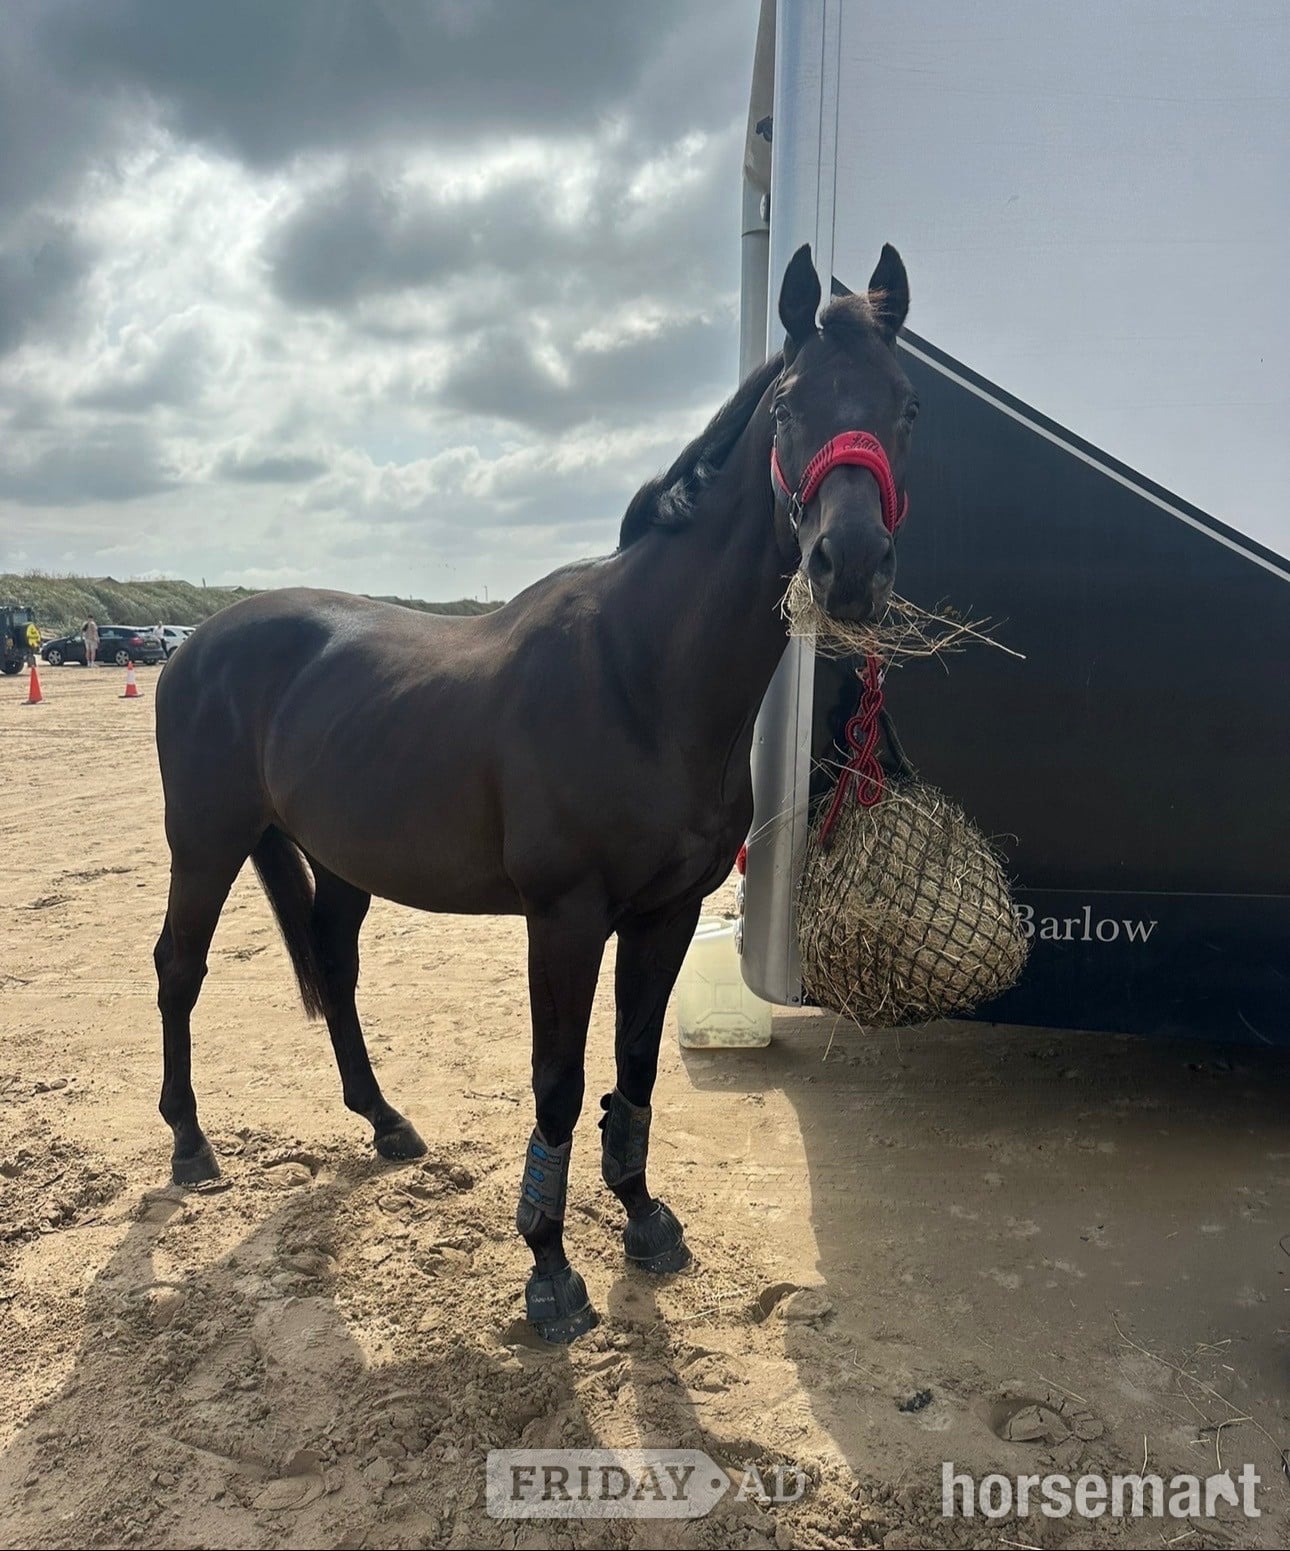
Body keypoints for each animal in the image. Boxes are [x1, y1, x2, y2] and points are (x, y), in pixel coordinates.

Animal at [152, 243, 918, 1342]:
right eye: (789, 405)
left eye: (905, 405)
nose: (848, 564)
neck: (641, 673)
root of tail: (195, 646)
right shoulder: (564, 918)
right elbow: (559, 1082)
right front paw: (550, 1271)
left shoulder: (665, 913)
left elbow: (633, 1067)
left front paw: (644, 1218)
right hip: (206, 843)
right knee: (179, 969)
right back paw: (190, 1145)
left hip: (340, 862)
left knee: (334, 969)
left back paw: (385, 1123)